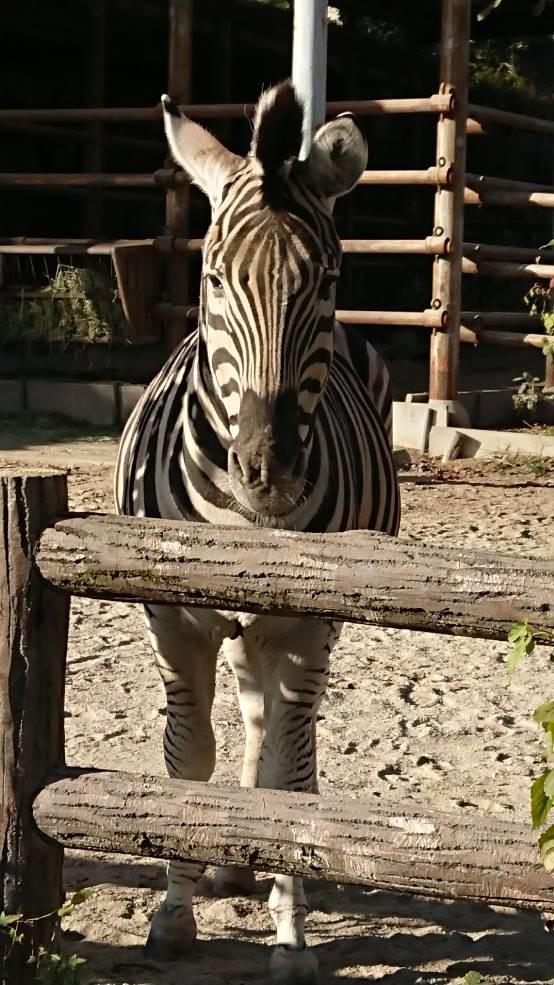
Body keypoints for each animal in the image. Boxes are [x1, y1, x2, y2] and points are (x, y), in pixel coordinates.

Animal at [115, 82, 396, 984]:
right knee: (245, 714)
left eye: (329, 280)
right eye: (211, 277)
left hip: (290, 626)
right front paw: (172, 915)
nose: (266, 467)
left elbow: (290, 779)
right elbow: (187, 755)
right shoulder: (171, 620)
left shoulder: (309, 623)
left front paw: (291, 933)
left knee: (275, 729)